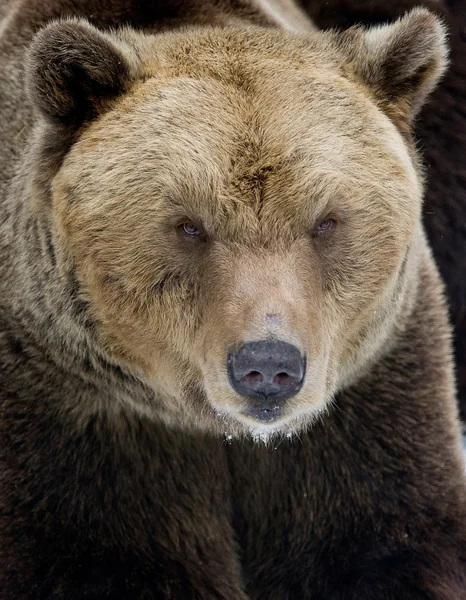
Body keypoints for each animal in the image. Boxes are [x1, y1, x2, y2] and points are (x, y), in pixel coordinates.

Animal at [0, 1, 466, 600]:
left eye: (326, 220)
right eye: (189, 225)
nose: (267, 364)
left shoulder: (370, 396)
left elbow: (383, 544)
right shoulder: (72, 410)